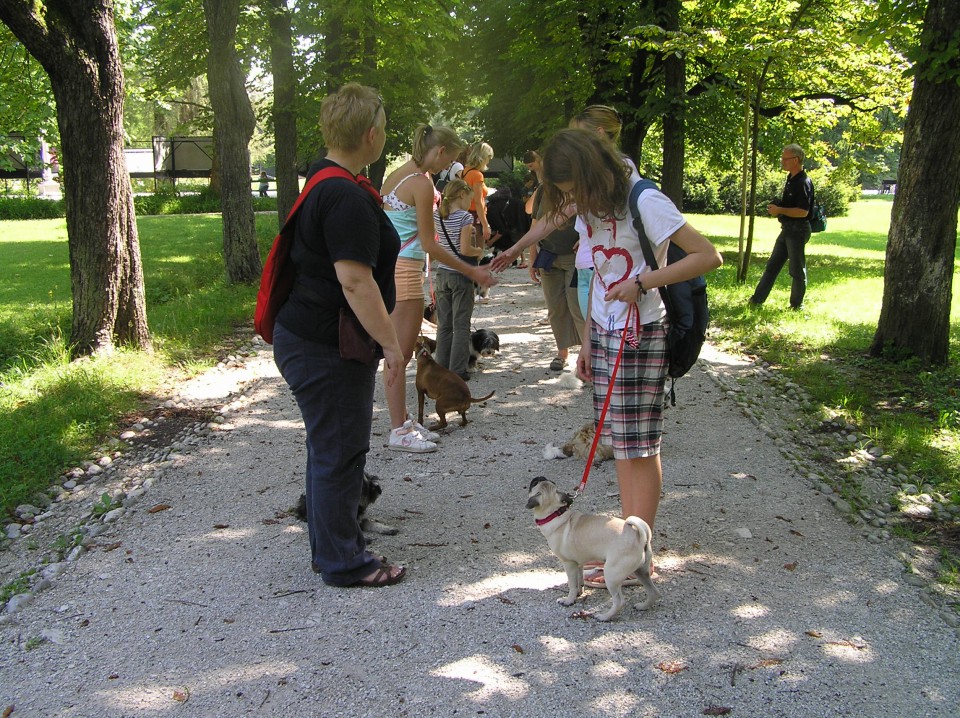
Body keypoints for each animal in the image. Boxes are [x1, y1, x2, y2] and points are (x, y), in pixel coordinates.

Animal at [524, 476, 660, 620]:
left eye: (534, 484)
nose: (539, 477)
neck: (555, 513)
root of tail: (639, 536)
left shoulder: (569, 564)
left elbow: (572, 584)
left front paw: (569, 600)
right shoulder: (578, 564)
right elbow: (580, 581)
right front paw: (579, 593)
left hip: (611, 574)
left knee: (619, 602)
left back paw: (604, 617)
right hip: (641, 571)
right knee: (654, 591)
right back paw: (643, 606)